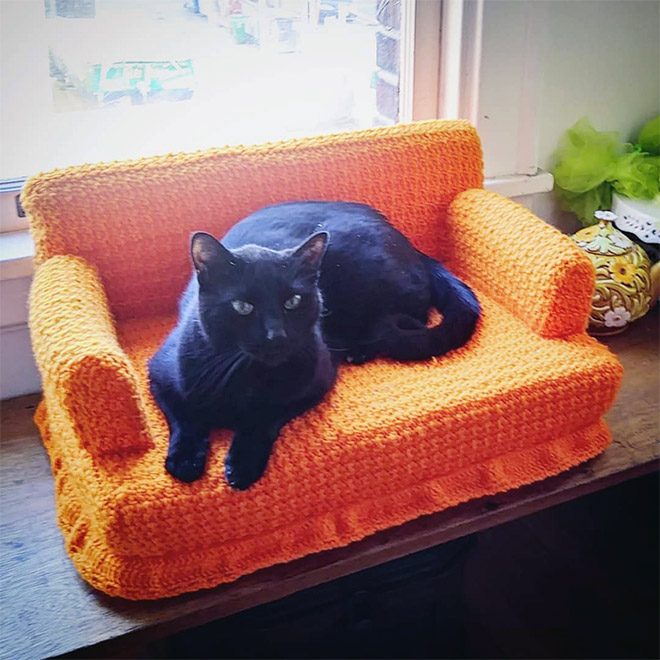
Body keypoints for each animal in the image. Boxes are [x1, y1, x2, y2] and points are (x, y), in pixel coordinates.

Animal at [148, 202, 480, 490]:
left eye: (292, 301)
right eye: (242, 306)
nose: (276, 334)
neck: (249, 376)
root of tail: (406, 241)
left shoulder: (314, 383)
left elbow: (265, 415)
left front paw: (242, 464)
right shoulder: (160, 373)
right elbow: (185, 417)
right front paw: (184, 460)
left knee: (413, 318)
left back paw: (358, 351)